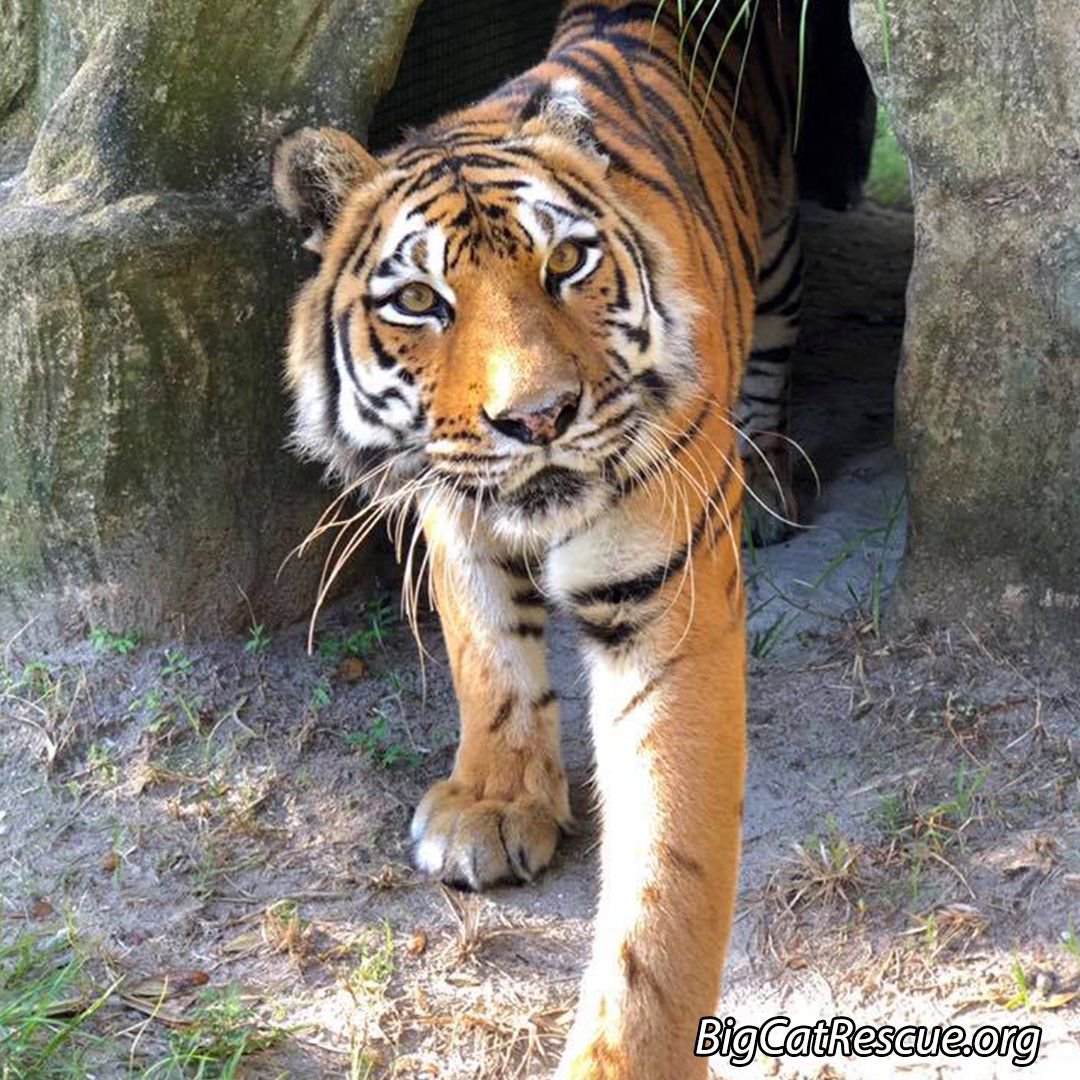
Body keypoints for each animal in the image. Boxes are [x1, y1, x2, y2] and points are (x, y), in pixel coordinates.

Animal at [272, 2, 809, 1076]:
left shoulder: (667, 597)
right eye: (417, 301)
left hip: (774, 235)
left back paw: (769, 483)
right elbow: (489, 658)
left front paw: (630, 1053)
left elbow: (666, 876)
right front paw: (493, 805)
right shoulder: (453, 511)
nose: (539, 417)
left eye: (567, 265)